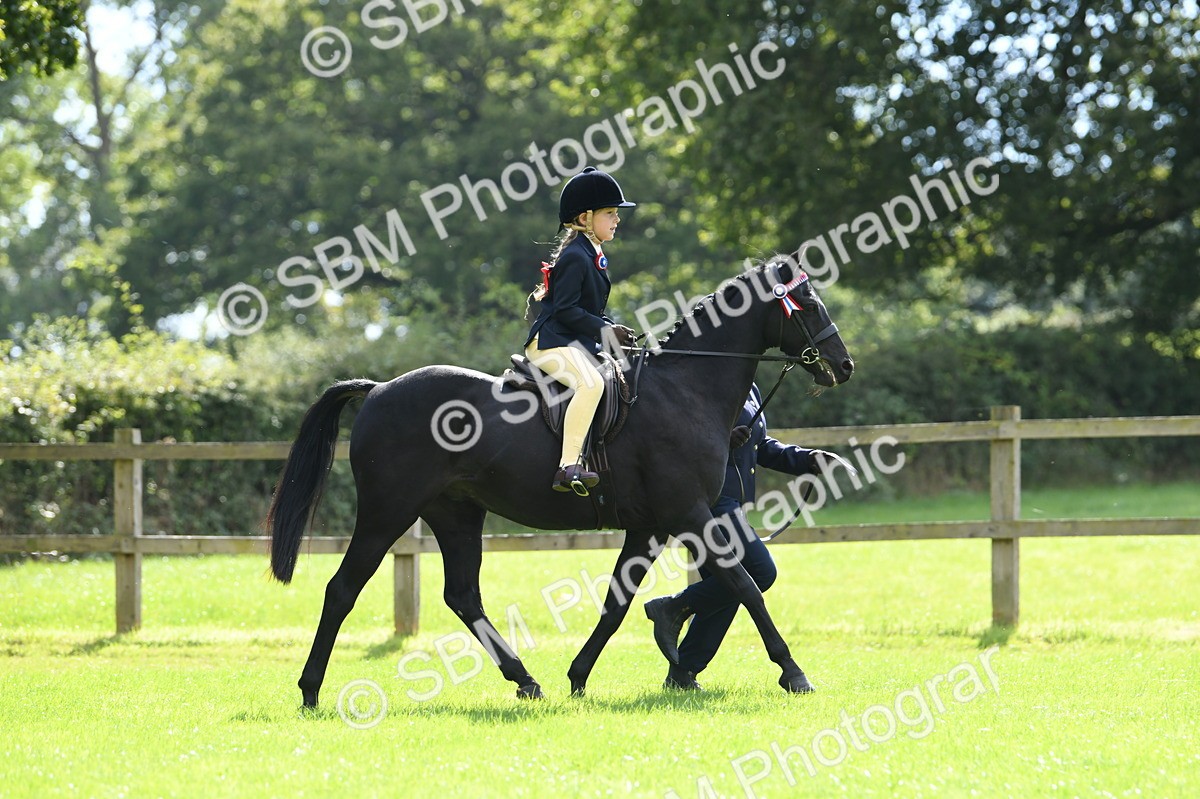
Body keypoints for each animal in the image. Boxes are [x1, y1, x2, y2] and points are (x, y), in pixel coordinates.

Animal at [267, 253, 855, 708]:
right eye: (806, 304)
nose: (843, 365)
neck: (684, 388)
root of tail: (380, 389)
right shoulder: (690, 514)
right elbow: (746, 586)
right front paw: (793, 672)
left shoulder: (649, 527)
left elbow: (618, 604)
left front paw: (583, 675)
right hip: (388, 511)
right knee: (343, 589)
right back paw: (310, 689)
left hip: (456, 514)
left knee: (463, 596)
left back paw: (526, 680)